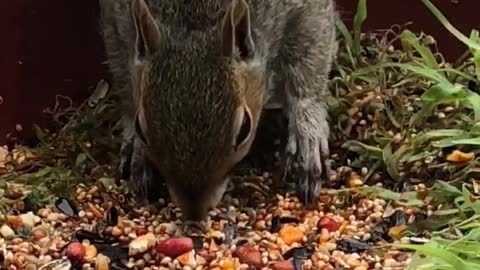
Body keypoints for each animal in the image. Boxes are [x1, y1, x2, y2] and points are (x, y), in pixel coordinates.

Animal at [98, 0, 338, 228]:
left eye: (244, 129)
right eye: (140, 127)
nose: (194, 215)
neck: (196, 18)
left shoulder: (302, 10)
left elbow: (309, 67)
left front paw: (308, 135)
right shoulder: (117, 20)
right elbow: (124, 79)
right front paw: (137, 148)